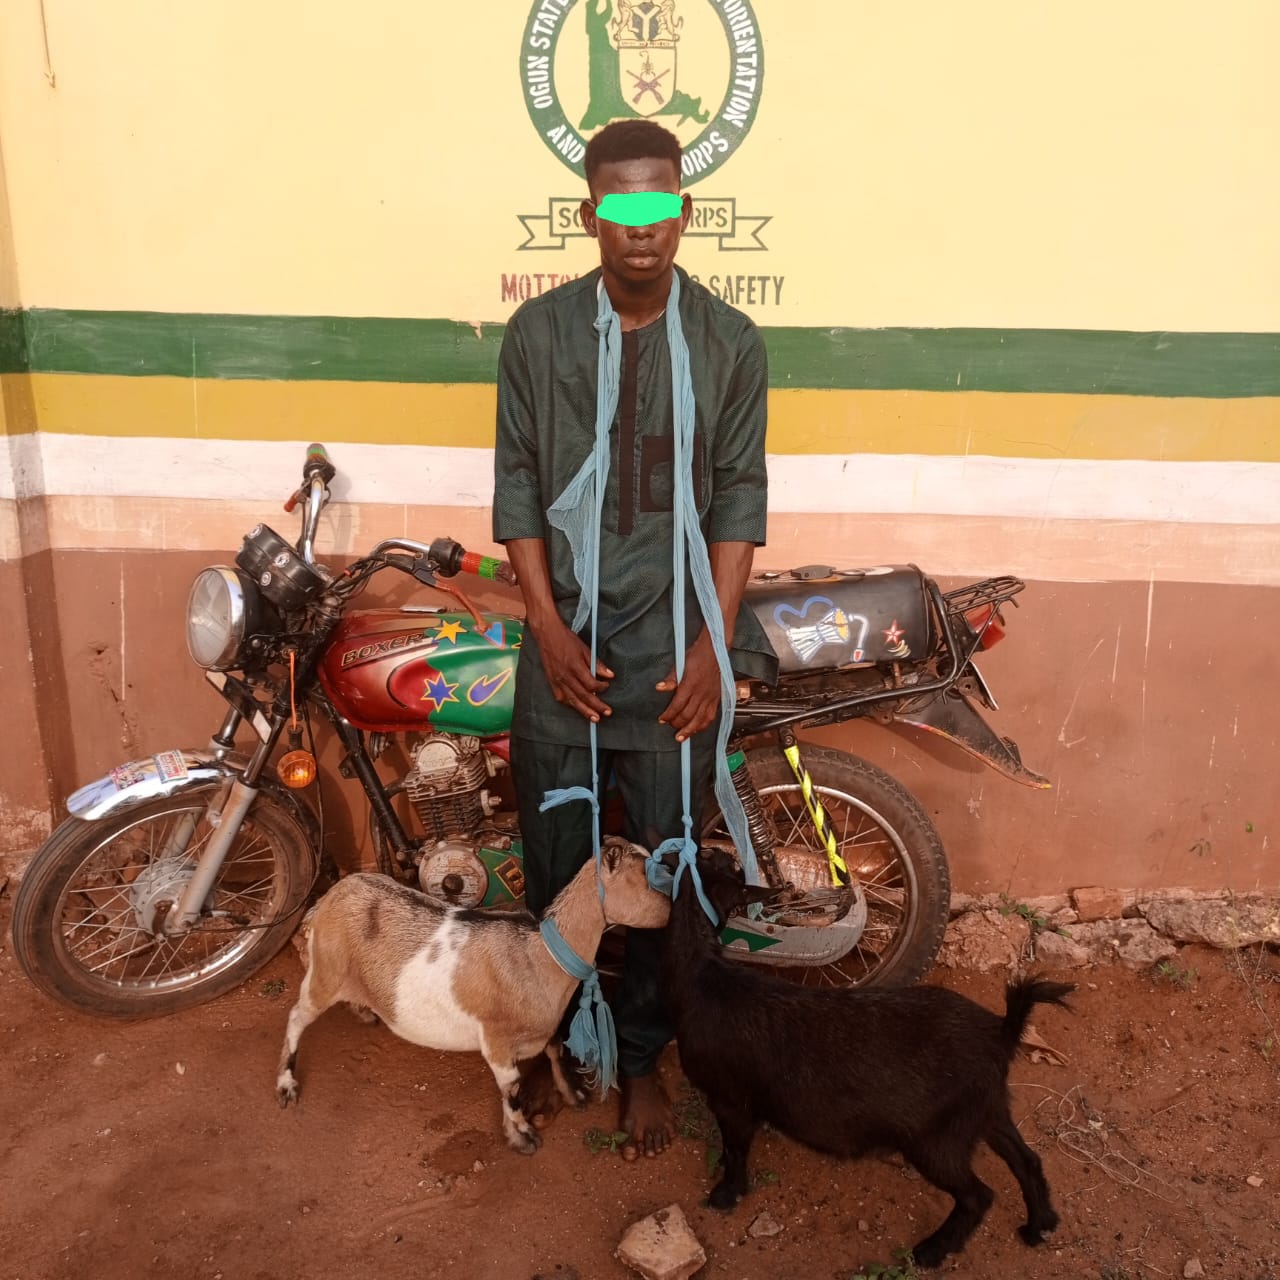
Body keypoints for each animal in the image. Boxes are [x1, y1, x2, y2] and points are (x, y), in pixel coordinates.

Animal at [275, 835, 670, 1153]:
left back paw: (364, 1009)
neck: (540, 954)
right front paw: (523, 1137)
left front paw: (573, 1095)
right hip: (325, 971)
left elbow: (556, 1048)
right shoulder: (495, 1041)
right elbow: (512, 1091)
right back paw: (286, 1083)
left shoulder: (542, 1027)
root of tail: (330, 896)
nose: (671, 909)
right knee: (296, 1015)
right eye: (647, 875)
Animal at [661, 851, 1075, 1269]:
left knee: (978, 1195)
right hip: (986, 1110)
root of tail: (1001, 1031)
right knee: (1027, 1160)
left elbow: (735, 1148)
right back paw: (1039, 1226)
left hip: (937, 1139)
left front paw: (726, 1194)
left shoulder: (729, 1098)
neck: (705, 976)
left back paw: (932, 1250)